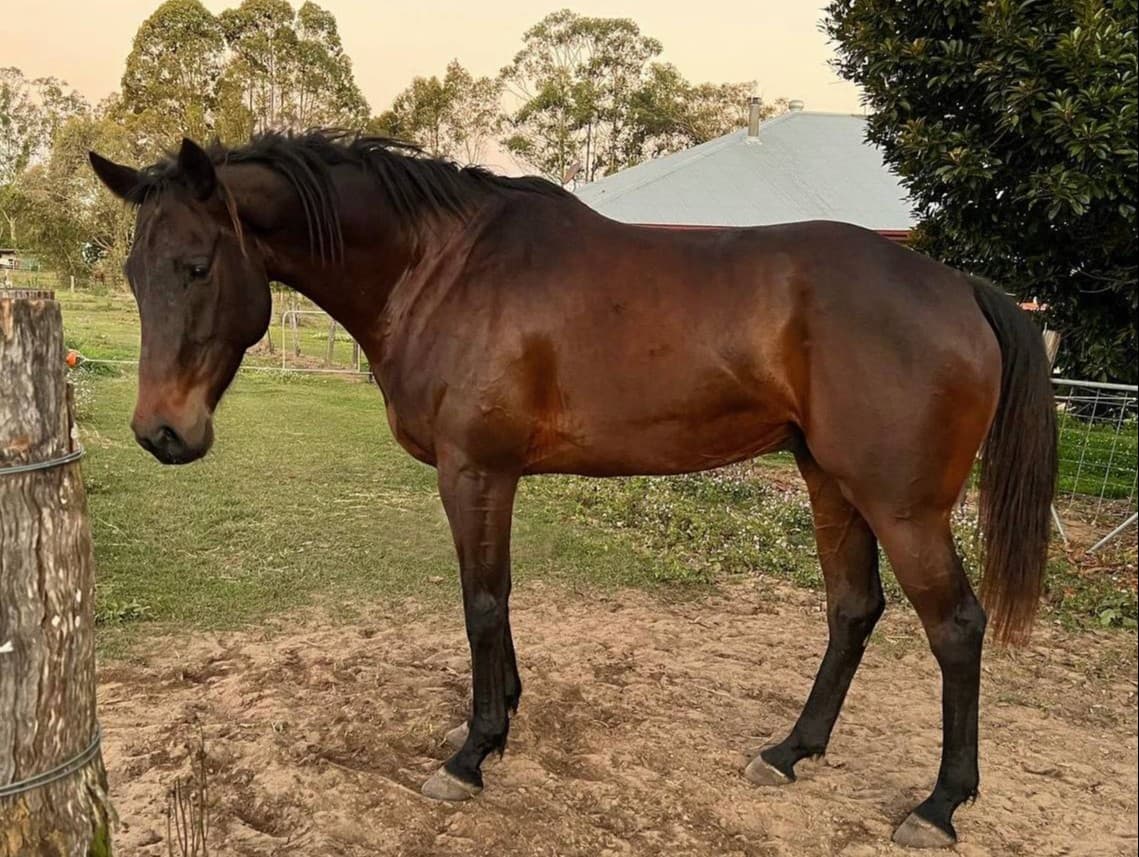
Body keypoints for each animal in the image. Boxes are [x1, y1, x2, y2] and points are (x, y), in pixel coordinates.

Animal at [89, 133, 1056, 849]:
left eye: (197, 265)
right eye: (134, 274)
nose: (161, 432)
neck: (439, 267)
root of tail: (960, 288)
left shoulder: (474, 470)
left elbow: (480, 600)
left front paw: (472, 751)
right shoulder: (494, 476)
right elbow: (498, 597)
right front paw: (507, 712)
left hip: (901, 505)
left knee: (954, 627)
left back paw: (938, 805)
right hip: (830, 481)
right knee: (853, 609)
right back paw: (790, 751)